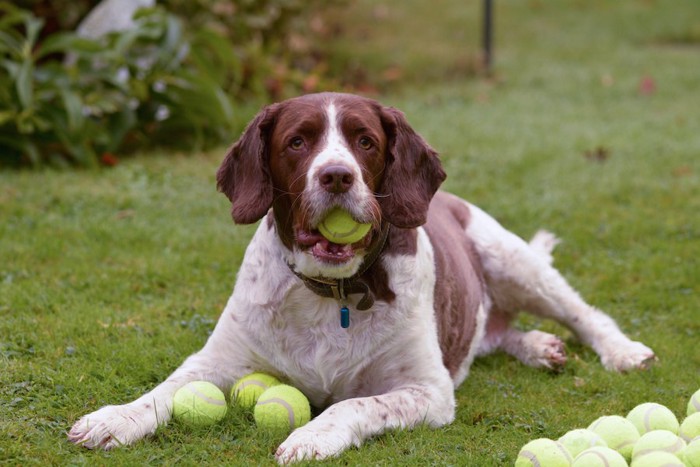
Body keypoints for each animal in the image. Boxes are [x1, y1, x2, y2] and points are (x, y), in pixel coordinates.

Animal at [68, 92, 652, 464]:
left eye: (365, 141)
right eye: (298, 142)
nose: (336, 176)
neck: (334, 291)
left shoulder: (427, 390)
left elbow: (356, 402)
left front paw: (312, 436)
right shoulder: (217, 360)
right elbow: (164, 390)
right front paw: (113, 419)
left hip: (511, 260)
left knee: (582, 313)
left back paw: (619, 351)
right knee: (496, 331)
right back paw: (537, 347)